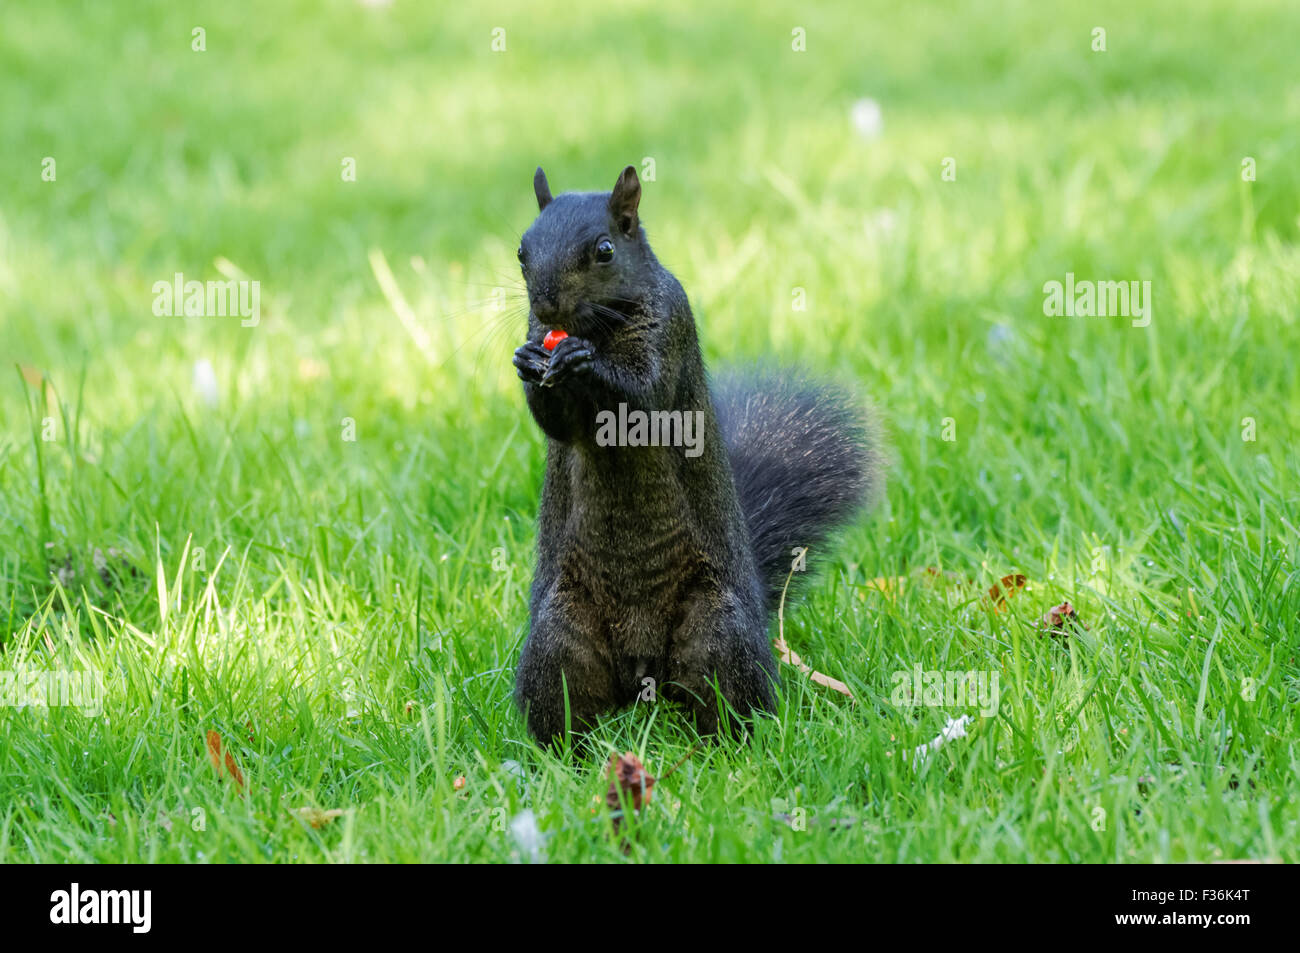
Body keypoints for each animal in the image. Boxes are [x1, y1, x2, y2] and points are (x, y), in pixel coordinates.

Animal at [512, 165, 878, 743]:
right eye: (521, 252)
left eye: (605, 250)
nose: (546, 306)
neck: (599, 327)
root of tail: (642, 676)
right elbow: (558, 422)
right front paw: (530, 362)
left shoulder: (671, 328)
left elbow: (644, 396)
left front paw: (583, 362)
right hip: (560, 638)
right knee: (568, 709)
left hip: (716, 631)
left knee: (729, 704)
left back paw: (734, 745)